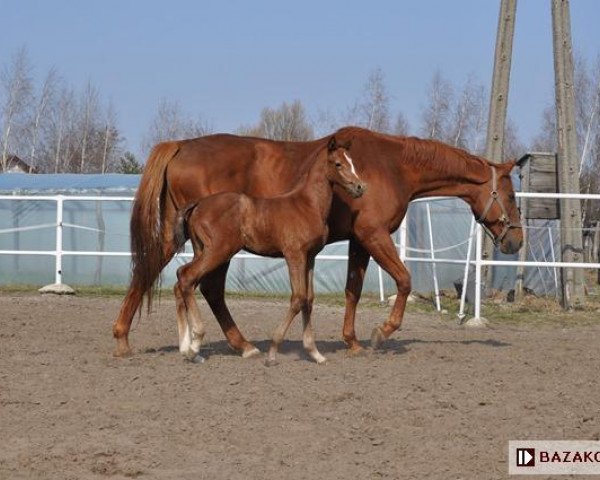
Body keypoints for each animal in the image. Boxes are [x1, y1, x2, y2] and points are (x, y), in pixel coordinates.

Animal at [172, 137, 366, 366]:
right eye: (338, 164)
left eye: (352, 162)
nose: (360, 187)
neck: (307, 205)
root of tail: (198, 204)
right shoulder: (294, 255)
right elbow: (298, 298)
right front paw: (273, 353)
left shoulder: (310, 258)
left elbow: (309, 300)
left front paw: (315, 353)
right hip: (218, 251)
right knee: (187, 277)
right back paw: (195, 344)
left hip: (201, 250)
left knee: (182, 280)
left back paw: (187, 348)